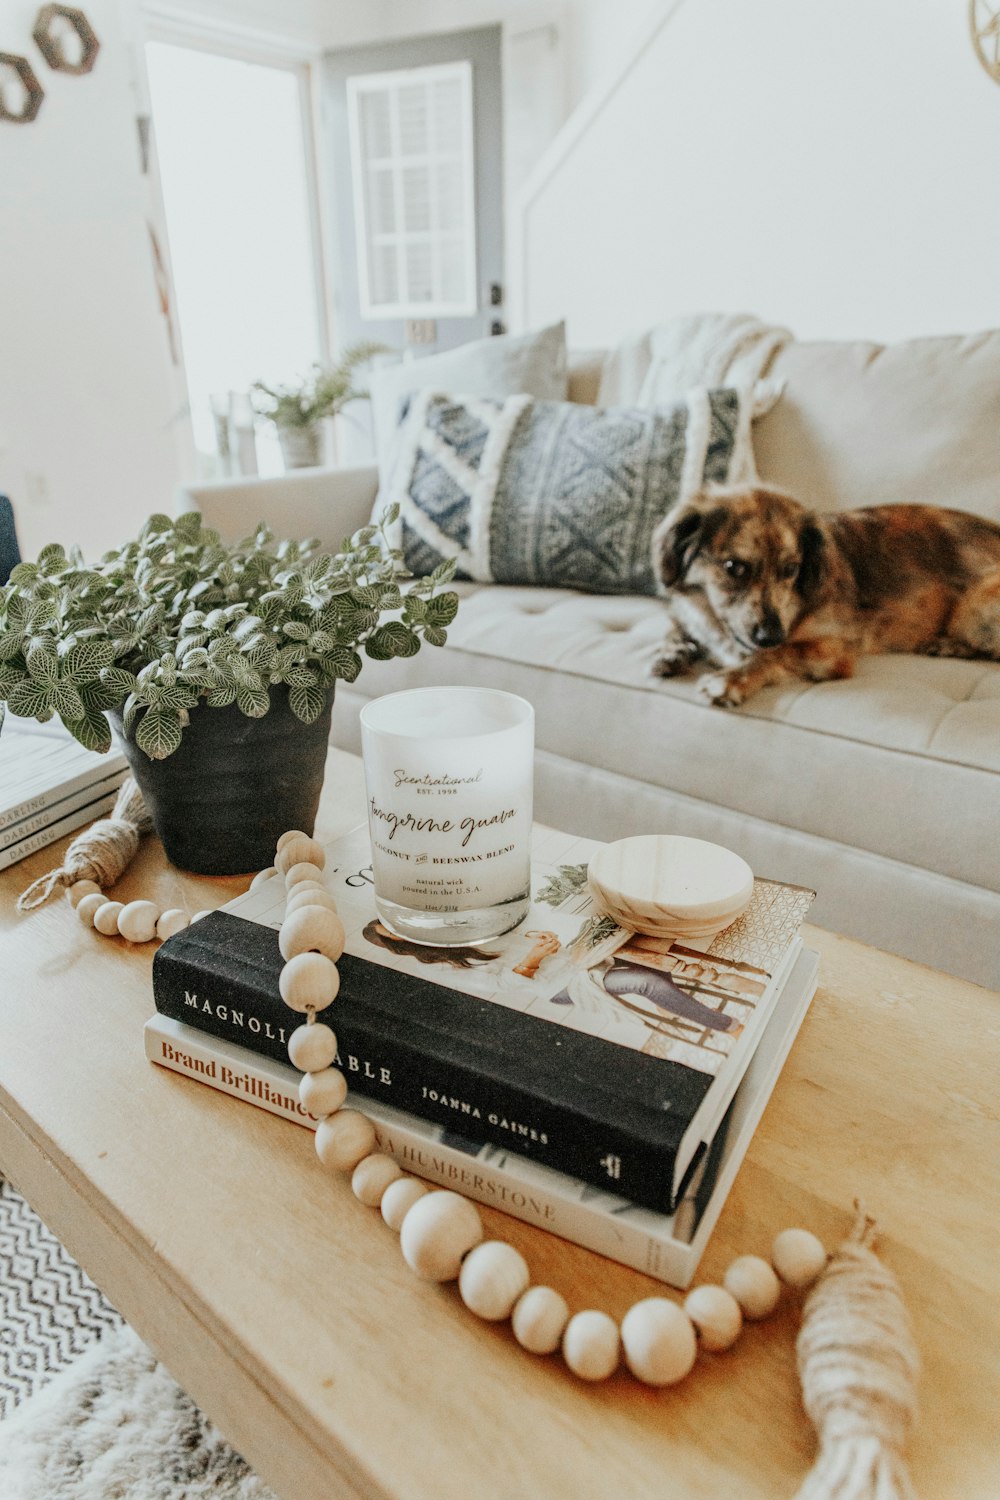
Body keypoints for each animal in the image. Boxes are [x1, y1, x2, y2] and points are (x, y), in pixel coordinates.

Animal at [650, 486, 1000, 708]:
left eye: (791, 569)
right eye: (734, 567)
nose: (771, 634)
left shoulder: (833, 650)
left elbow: (775, 654)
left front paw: (732, 679)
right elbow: (675, 628)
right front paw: (672, 651)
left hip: (973, 608)